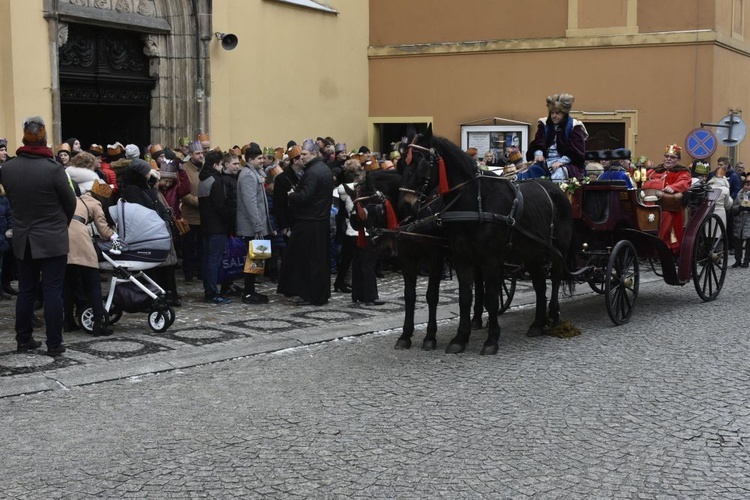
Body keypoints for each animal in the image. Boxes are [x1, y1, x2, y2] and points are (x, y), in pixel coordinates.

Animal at [402, 129, 580, 356]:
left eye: (422, 162)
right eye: (403, 163)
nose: (406, 205)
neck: (475, 202)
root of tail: (556, 189)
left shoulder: (491, 260)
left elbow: (492, 298)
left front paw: (491, 340)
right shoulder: (462, 258)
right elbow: (465, 297)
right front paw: (460, 338)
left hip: (557, 251)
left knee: (556, 278)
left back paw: (554, 315)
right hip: (531, 253)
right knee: (540, 284)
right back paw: (537, 324)